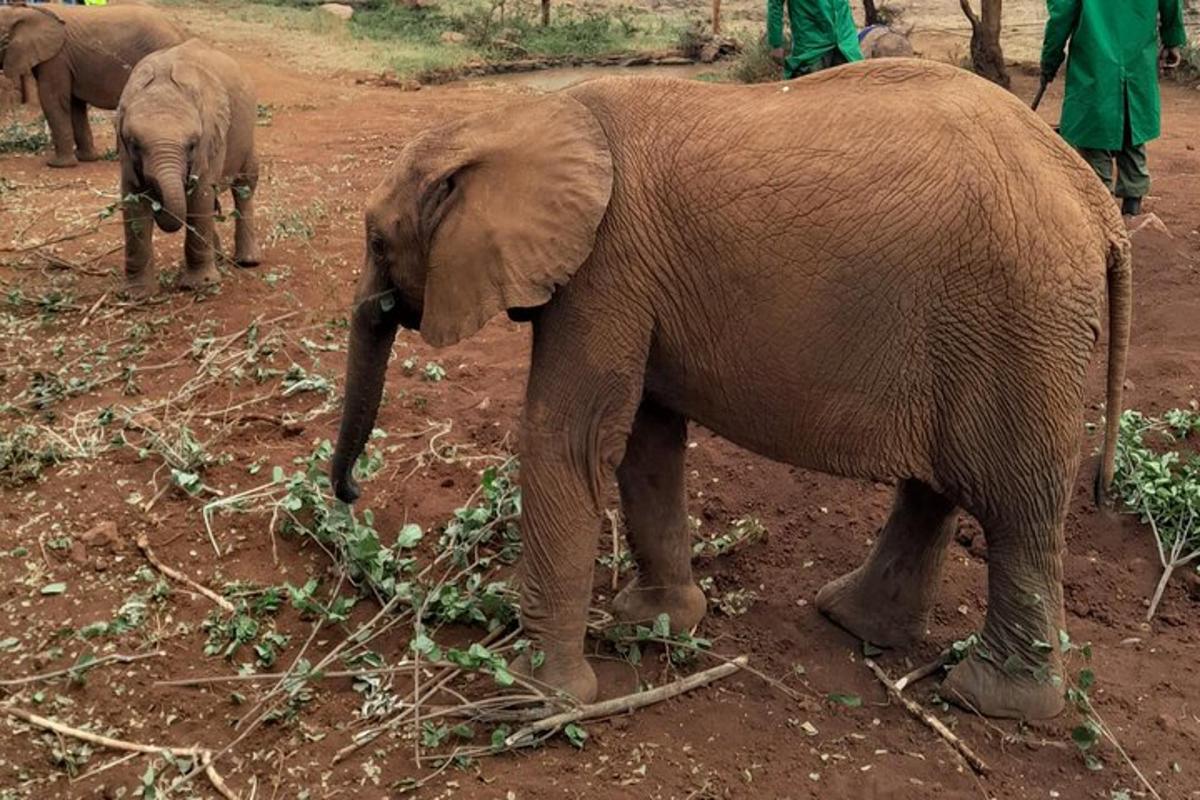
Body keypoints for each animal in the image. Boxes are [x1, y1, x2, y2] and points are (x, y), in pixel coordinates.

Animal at [0, 3, 182, 167]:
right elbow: (74, 104)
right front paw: (86, 159)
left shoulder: (57, 58)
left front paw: (57, 165)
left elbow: (53, 100)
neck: (24, 10)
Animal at [115, 37, 261, 293]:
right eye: (134, 144)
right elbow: (133, 200)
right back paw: (219, 258)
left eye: (192, 145)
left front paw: (201, 285)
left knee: (244, 186)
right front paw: (137, 293)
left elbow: (200, 195)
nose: (159, 200)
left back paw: (248, 262)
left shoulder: (212, 136)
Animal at [331, 62, 1132, 719]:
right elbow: (645, 441)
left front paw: (532, 700)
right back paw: (852, 622)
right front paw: (654, 625)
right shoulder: (635, 280)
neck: (523, 118)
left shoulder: (607, 265)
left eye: (377, 242)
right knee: (940, 488)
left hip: (1019, 320)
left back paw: (989, 700)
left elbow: (570, 440)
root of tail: (1094, 200)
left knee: (1017, 508)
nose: (349, 494)